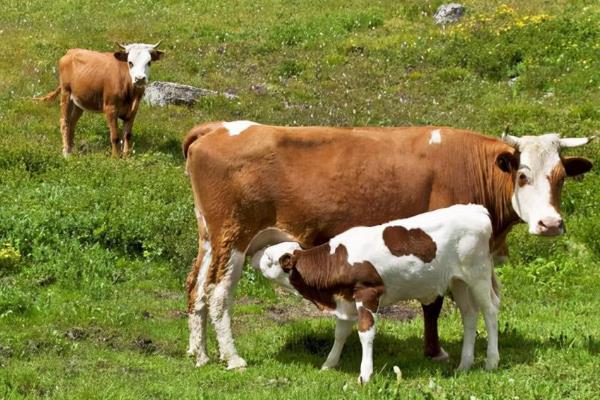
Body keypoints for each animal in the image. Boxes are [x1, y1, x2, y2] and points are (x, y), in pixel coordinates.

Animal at [251, 205, 500, 382]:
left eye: (269, 258)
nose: (254, 256)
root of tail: (476, 209)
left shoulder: (368, 293)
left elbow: (365, 333)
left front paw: (365, 375)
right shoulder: (345, 300)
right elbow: (340, 333)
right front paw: (329, 364)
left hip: (478, 274)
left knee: (490, 311)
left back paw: (491, 361)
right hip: (458, 281)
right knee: (469, 314)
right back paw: (464, 364)